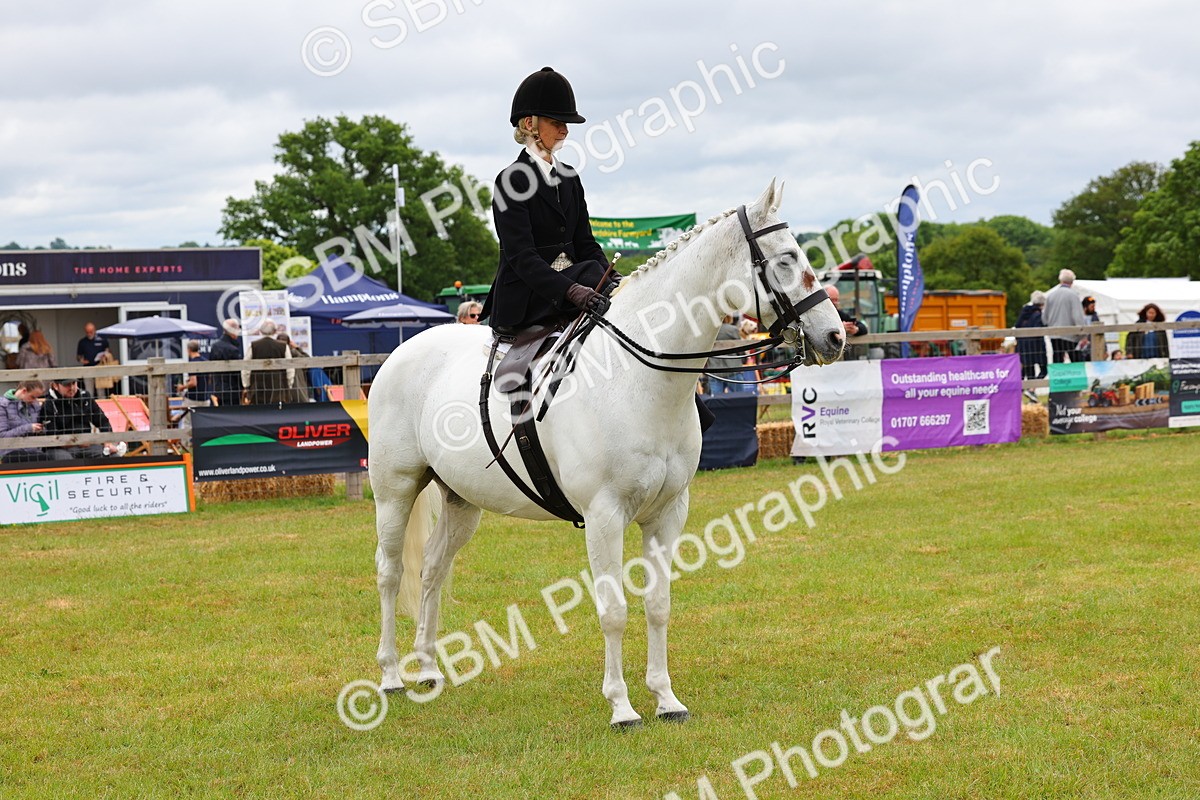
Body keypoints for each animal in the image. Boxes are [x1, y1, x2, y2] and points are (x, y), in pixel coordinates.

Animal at [367, 180, 845, 727]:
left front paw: (666, 699)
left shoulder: (668, 514)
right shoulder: (604, 515)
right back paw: (391, 676)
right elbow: (613, 610)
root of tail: (403, 351)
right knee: (390, 573)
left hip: (461, 501)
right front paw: (621, 706)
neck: (636, 377)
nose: (835, 336)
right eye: (787, 258)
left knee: (431, 571)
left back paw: (427, 669)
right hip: (395, 491)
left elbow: (658, 604)